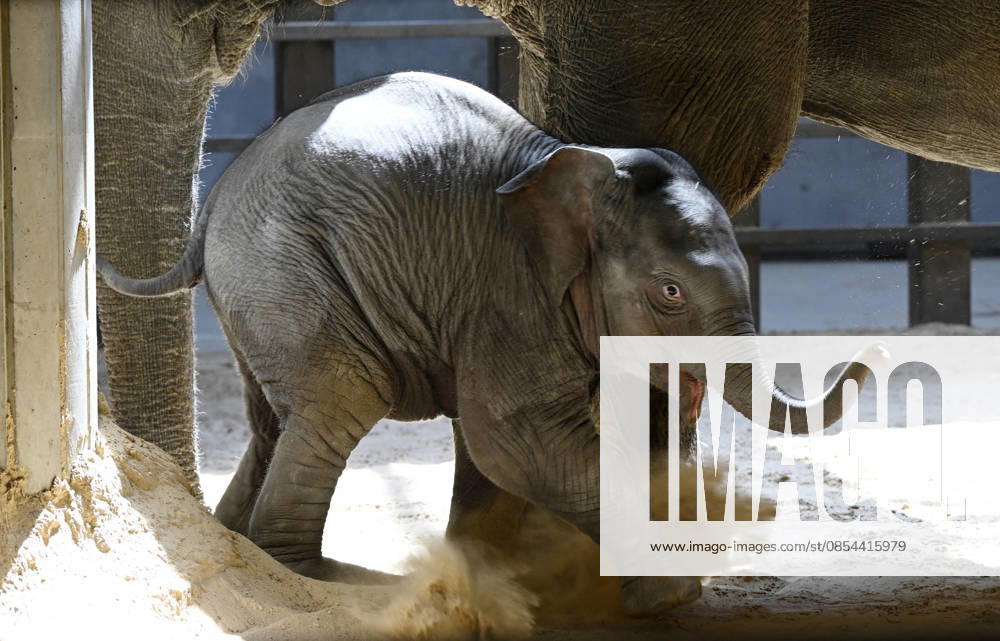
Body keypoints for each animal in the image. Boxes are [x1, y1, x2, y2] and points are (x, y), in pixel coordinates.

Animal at [98, 71, 871, 615]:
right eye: (670, 293)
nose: (868, 360)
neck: (571, 170)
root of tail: (215, 196)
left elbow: (489, 450)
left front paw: (488, 575)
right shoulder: (508, 292)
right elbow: (514, 441)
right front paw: (667, 594)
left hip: (260, 290)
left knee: (272, 420)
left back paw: (249, 549)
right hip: (286, 269)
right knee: (340, 399)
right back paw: (334, 584)